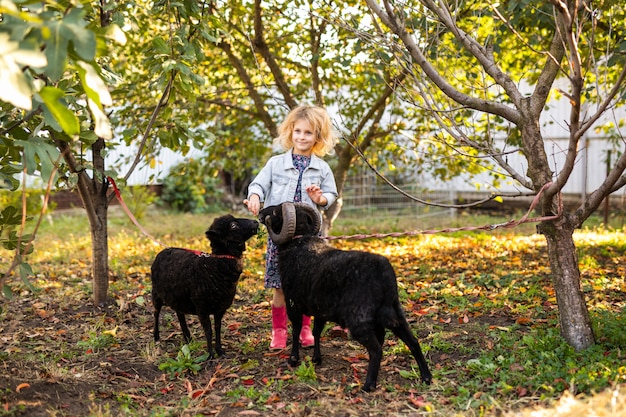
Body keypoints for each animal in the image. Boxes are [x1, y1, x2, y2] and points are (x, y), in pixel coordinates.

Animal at [150, 214, 258, 358]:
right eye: (233, 226)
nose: (256, 222)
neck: (214, 266)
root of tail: (163, 250)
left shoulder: (220, 308)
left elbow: (217, 329)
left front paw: (220, 351)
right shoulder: (202, 309)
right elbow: (209, 331)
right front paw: (210, 355)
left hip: (178, 295)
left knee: (179, 314)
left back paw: (188, 338)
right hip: (156, 293)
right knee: (156, 313)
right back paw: (156, 337)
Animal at [258, 202, 428, 390]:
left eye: (275, 212)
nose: (261, 212)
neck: (298, 242)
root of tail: (384, 272)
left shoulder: (293, 302)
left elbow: (296, 330)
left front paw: (293, 359)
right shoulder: (320, 309)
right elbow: (317, 331)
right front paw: (316, 359)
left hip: (359, 321)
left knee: (376, 349)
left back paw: (368, 385)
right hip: (395, 314)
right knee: (413, 342)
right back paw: (426, 377)